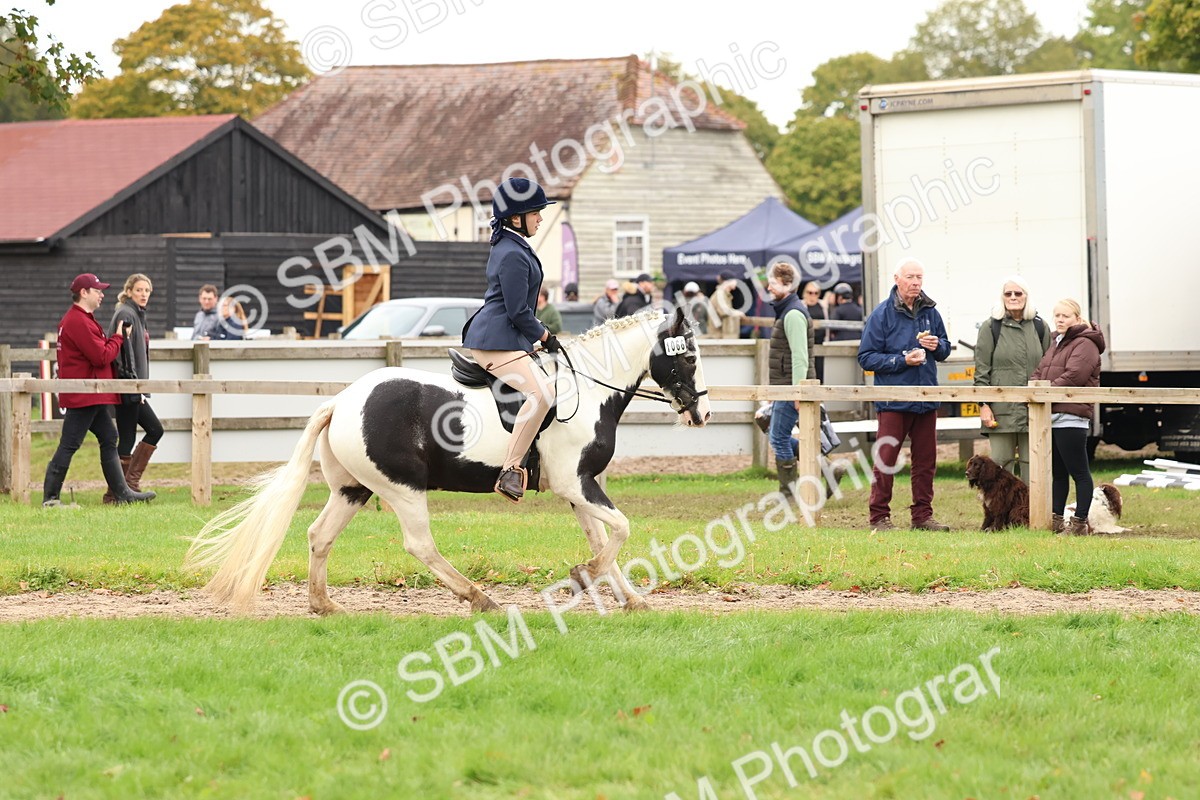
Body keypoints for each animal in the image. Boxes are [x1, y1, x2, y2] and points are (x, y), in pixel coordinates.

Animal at [186, 306, 713, 614]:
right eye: (688, 358)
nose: (703, 413)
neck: (584, 389)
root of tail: (342, 401)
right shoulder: (574, 484)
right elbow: (620, 529)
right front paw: (584, 576)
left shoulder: (580, 488)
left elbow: (605, 537)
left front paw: (629, 599)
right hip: (402, 489)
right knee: (420, 546)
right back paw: (480, 598)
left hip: (354, 489)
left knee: (320, 535)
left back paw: (324, 605)